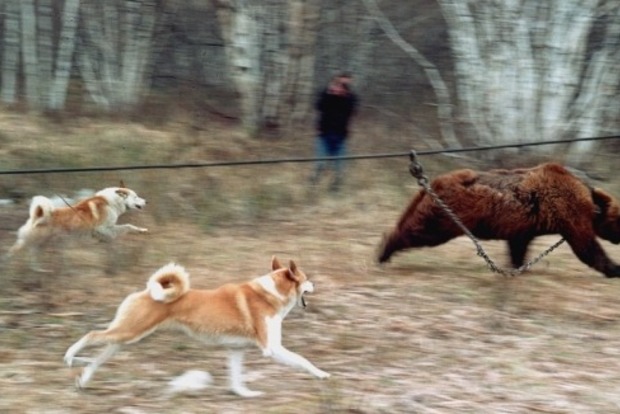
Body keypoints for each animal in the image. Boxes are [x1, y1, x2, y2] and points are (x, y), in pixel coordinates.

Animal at [6, 186, 148, 270]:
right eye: (136, 197)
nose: (146, 201)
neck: (112, 202)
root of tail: (38, 215)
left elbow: (127, 227)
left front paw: (141, 231)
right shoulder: (101, 228)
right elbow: (125, 227)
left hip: (41, 243)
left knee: (30, 254)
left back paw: (37, 269)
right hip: (35, 240)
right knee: (18, 251)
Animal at [64, 258, 330, 396]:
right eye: (306, 279)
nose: (316, 284)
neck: (269, 293)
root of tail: (148, 291)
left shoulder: (236, 350)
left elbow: (236, 379)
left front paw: (244, 394)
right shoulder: (271, 348)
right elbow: (304, 361)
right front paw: (321, 374)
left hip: (125, 339)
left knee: (97, 358)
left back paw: (83, 379)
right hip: (128, 333)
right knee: (91, 335)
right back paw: (69, 356)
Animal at [378, 163, 620, 276]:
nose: (618, 240)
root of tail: (434, 181)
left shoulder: (525, 226)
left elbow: (518, 246)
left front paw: (518, 267)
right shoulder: (568, 211)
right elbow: (586, 246)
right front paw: (615, 268)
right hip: (445, 217)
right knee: (420, 232)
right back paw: (384, 251)